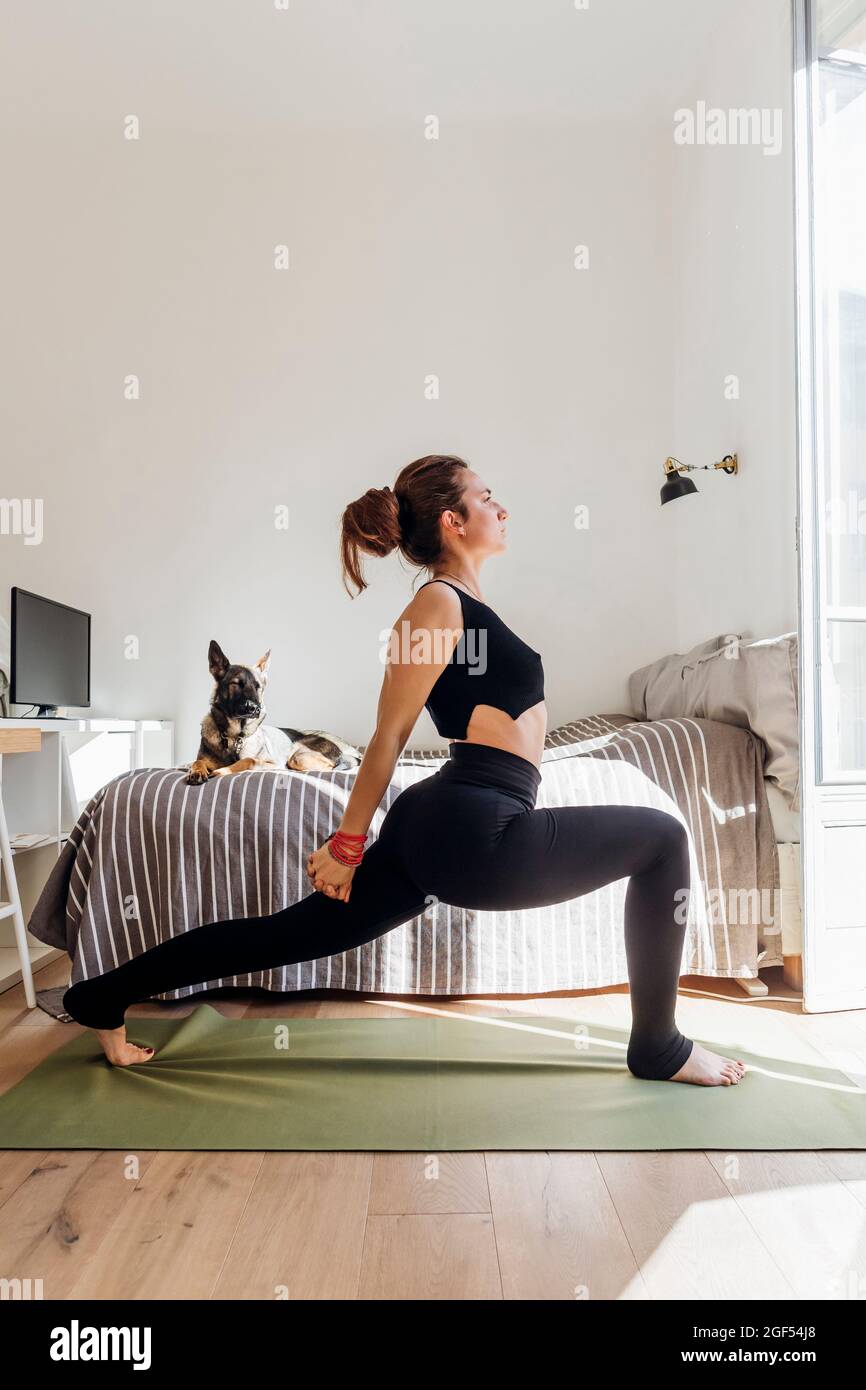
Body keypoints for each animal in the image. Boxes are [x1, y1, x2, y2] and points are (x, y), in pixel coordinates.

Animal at [187, 639, 364, 783]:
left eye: (257, 687)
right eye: (236, 684)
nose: (254, 708)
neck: (234, 736)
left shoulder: (271, 763)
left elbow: (248, 760)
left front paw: (223, 770)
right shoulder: (203, 758)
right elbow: (197, 761)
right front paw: (197, 771)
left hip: (298, 757)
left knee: (328, 767)